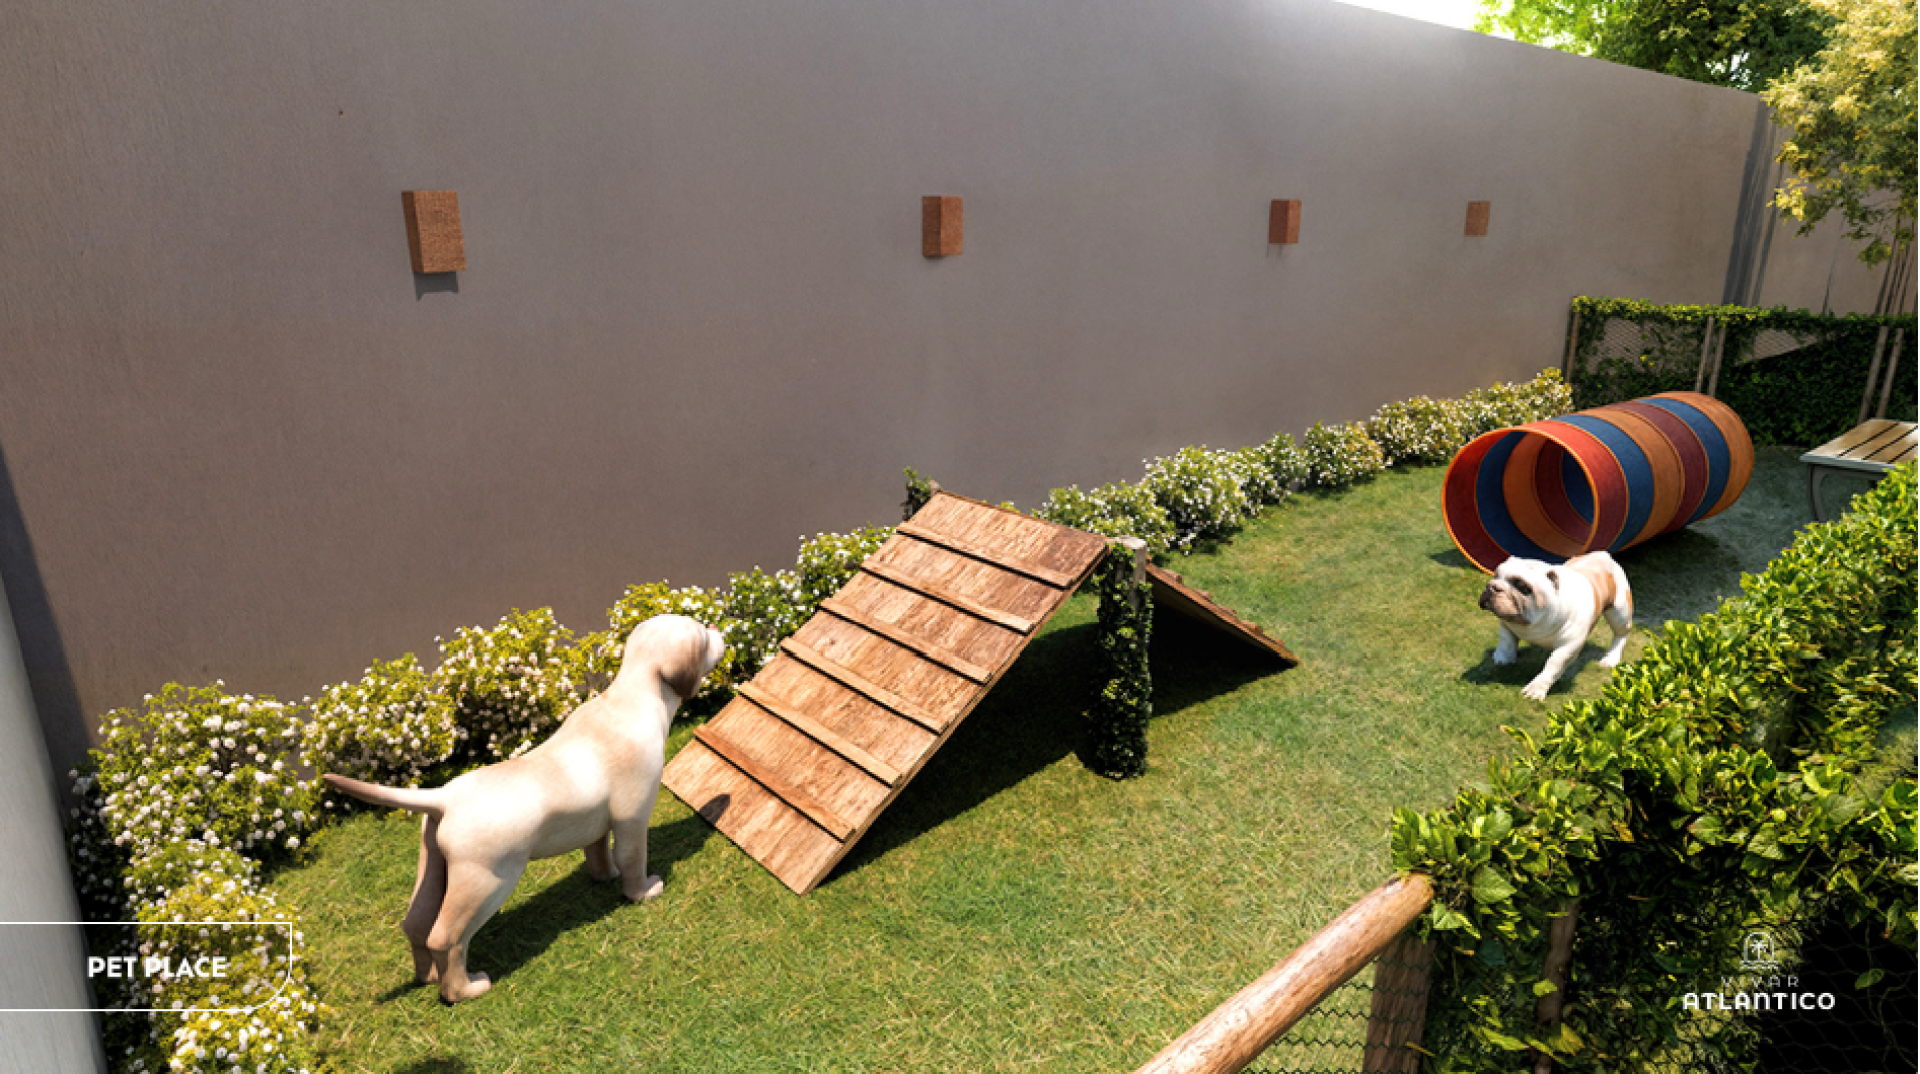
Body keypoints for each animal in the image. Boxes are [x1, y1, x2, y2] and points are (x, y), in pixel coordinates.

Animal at [322, 614, 725, 1003]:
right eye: (703, 634)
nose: (717, 628)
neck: (632, 697)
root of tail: (444, 797)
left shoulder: (596, 824)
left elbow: (597, 853)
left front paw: (604, 875)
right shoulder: (632, 819)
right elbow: (632, 860)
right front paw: (643, 892)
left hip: (433, 867)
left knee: (416, 925)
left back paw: (429, 977)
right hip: (486, 881)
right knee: (445, 938)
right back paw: (464, 990)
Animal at [1478, 552, 1632, 701]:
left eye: (1522, 586)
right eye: (1496, 575)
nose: (1492, 586)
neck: (1533, 622)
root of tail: (1604, 555)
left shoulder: (1567, 648)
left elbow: (1552, 667)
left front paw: (1535, 689)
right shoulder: (1507, 624)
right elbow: (1507, 642)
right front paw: (1503, 658)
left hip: (1619, 612)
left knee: (1621, 634)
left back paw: (1611, 659)